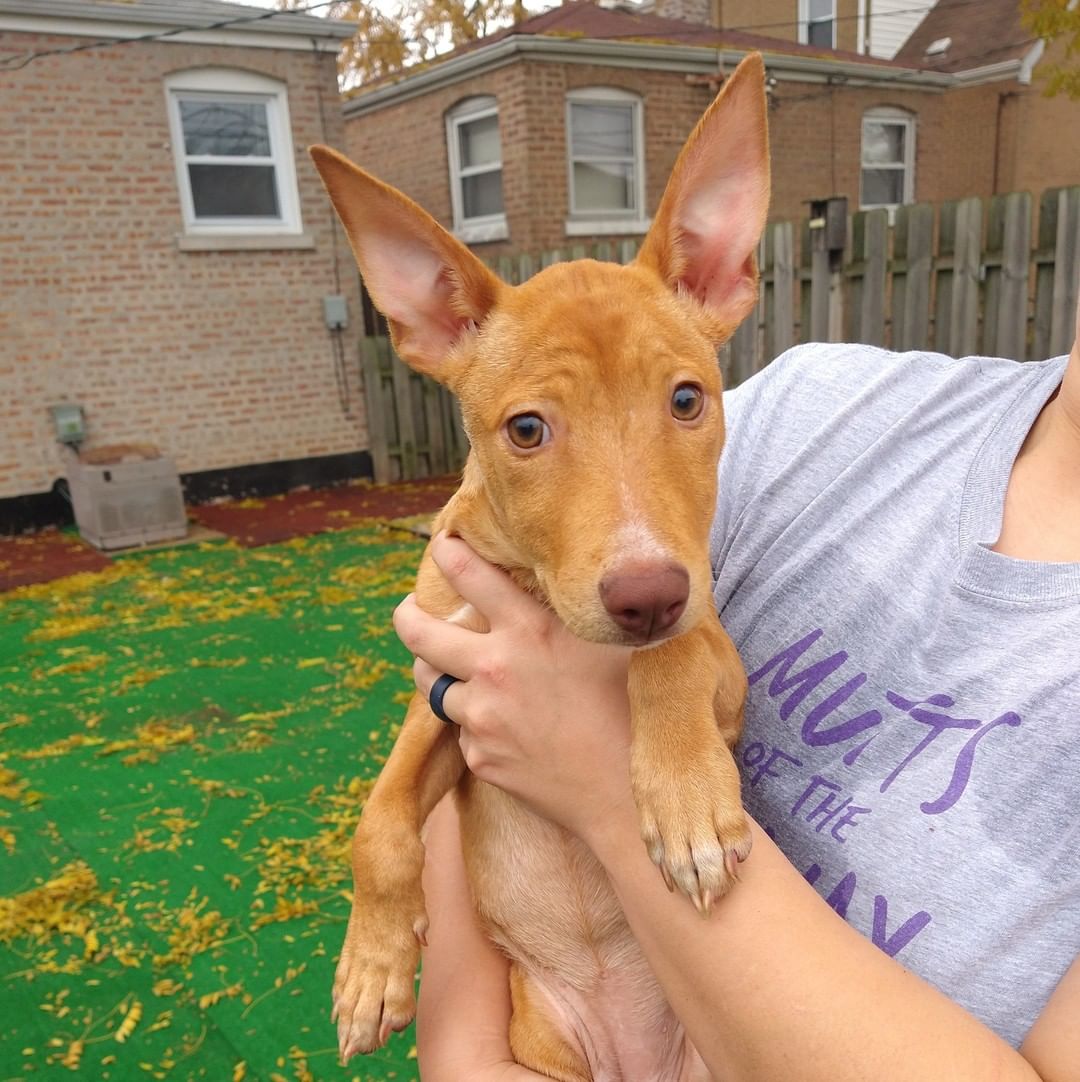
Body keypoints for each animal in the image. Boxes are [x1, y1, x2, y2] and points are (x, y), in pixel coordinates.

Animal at [309, 52, 774, 1082]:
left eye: (688, 400)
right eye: (526, 430)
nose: (645, 595)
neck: (537, 597)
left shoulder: (720, 658)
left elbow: (674, 656)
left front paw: (687, 800)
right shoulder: (441, 694)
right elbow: (381, 816)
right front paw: (372, 969)